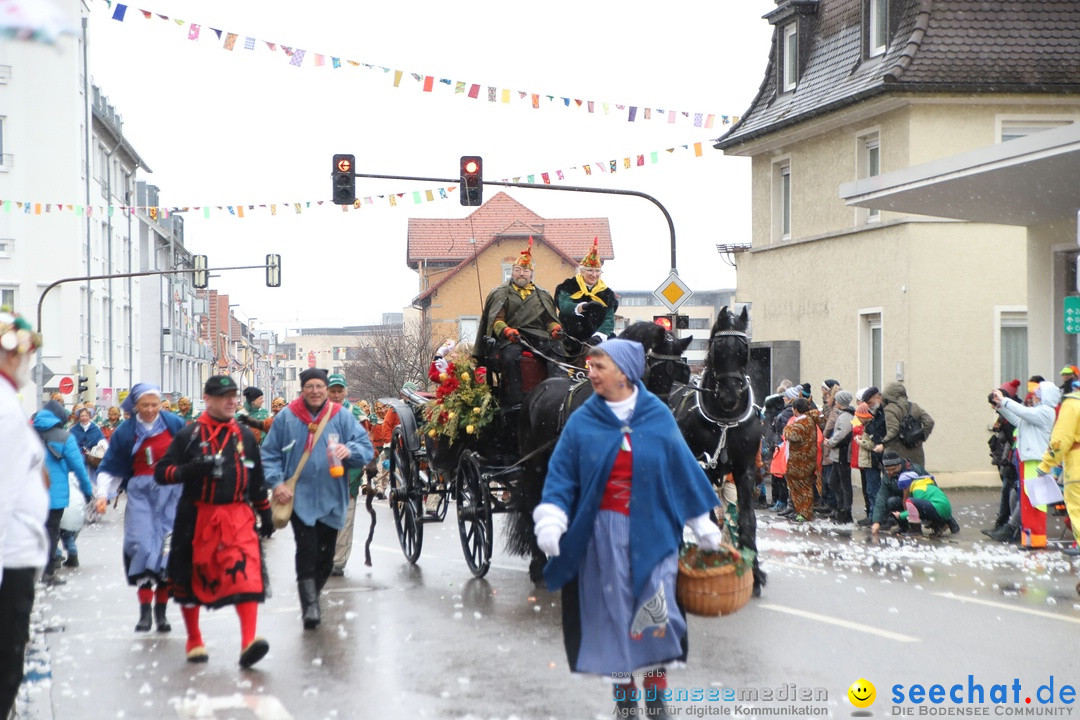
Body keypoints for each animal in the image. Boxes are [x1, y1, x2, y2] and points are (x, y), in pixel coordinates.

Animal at [505, 321, 691, 578]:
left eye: (679, 374)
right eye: (655, 370)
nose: (663, 416)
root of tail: (535, 393)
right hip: (533, 465)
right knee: (532, 502)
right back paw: (538, 565)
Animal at [665, 306, 768, 595]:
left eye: (743, 349)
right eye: (717, 348)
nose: (729, 397)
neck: (725, 422)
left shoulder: (745, 469)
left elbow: (747, 519)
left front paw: (754, 572)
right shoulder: (702, 469)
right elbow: (710, 518)